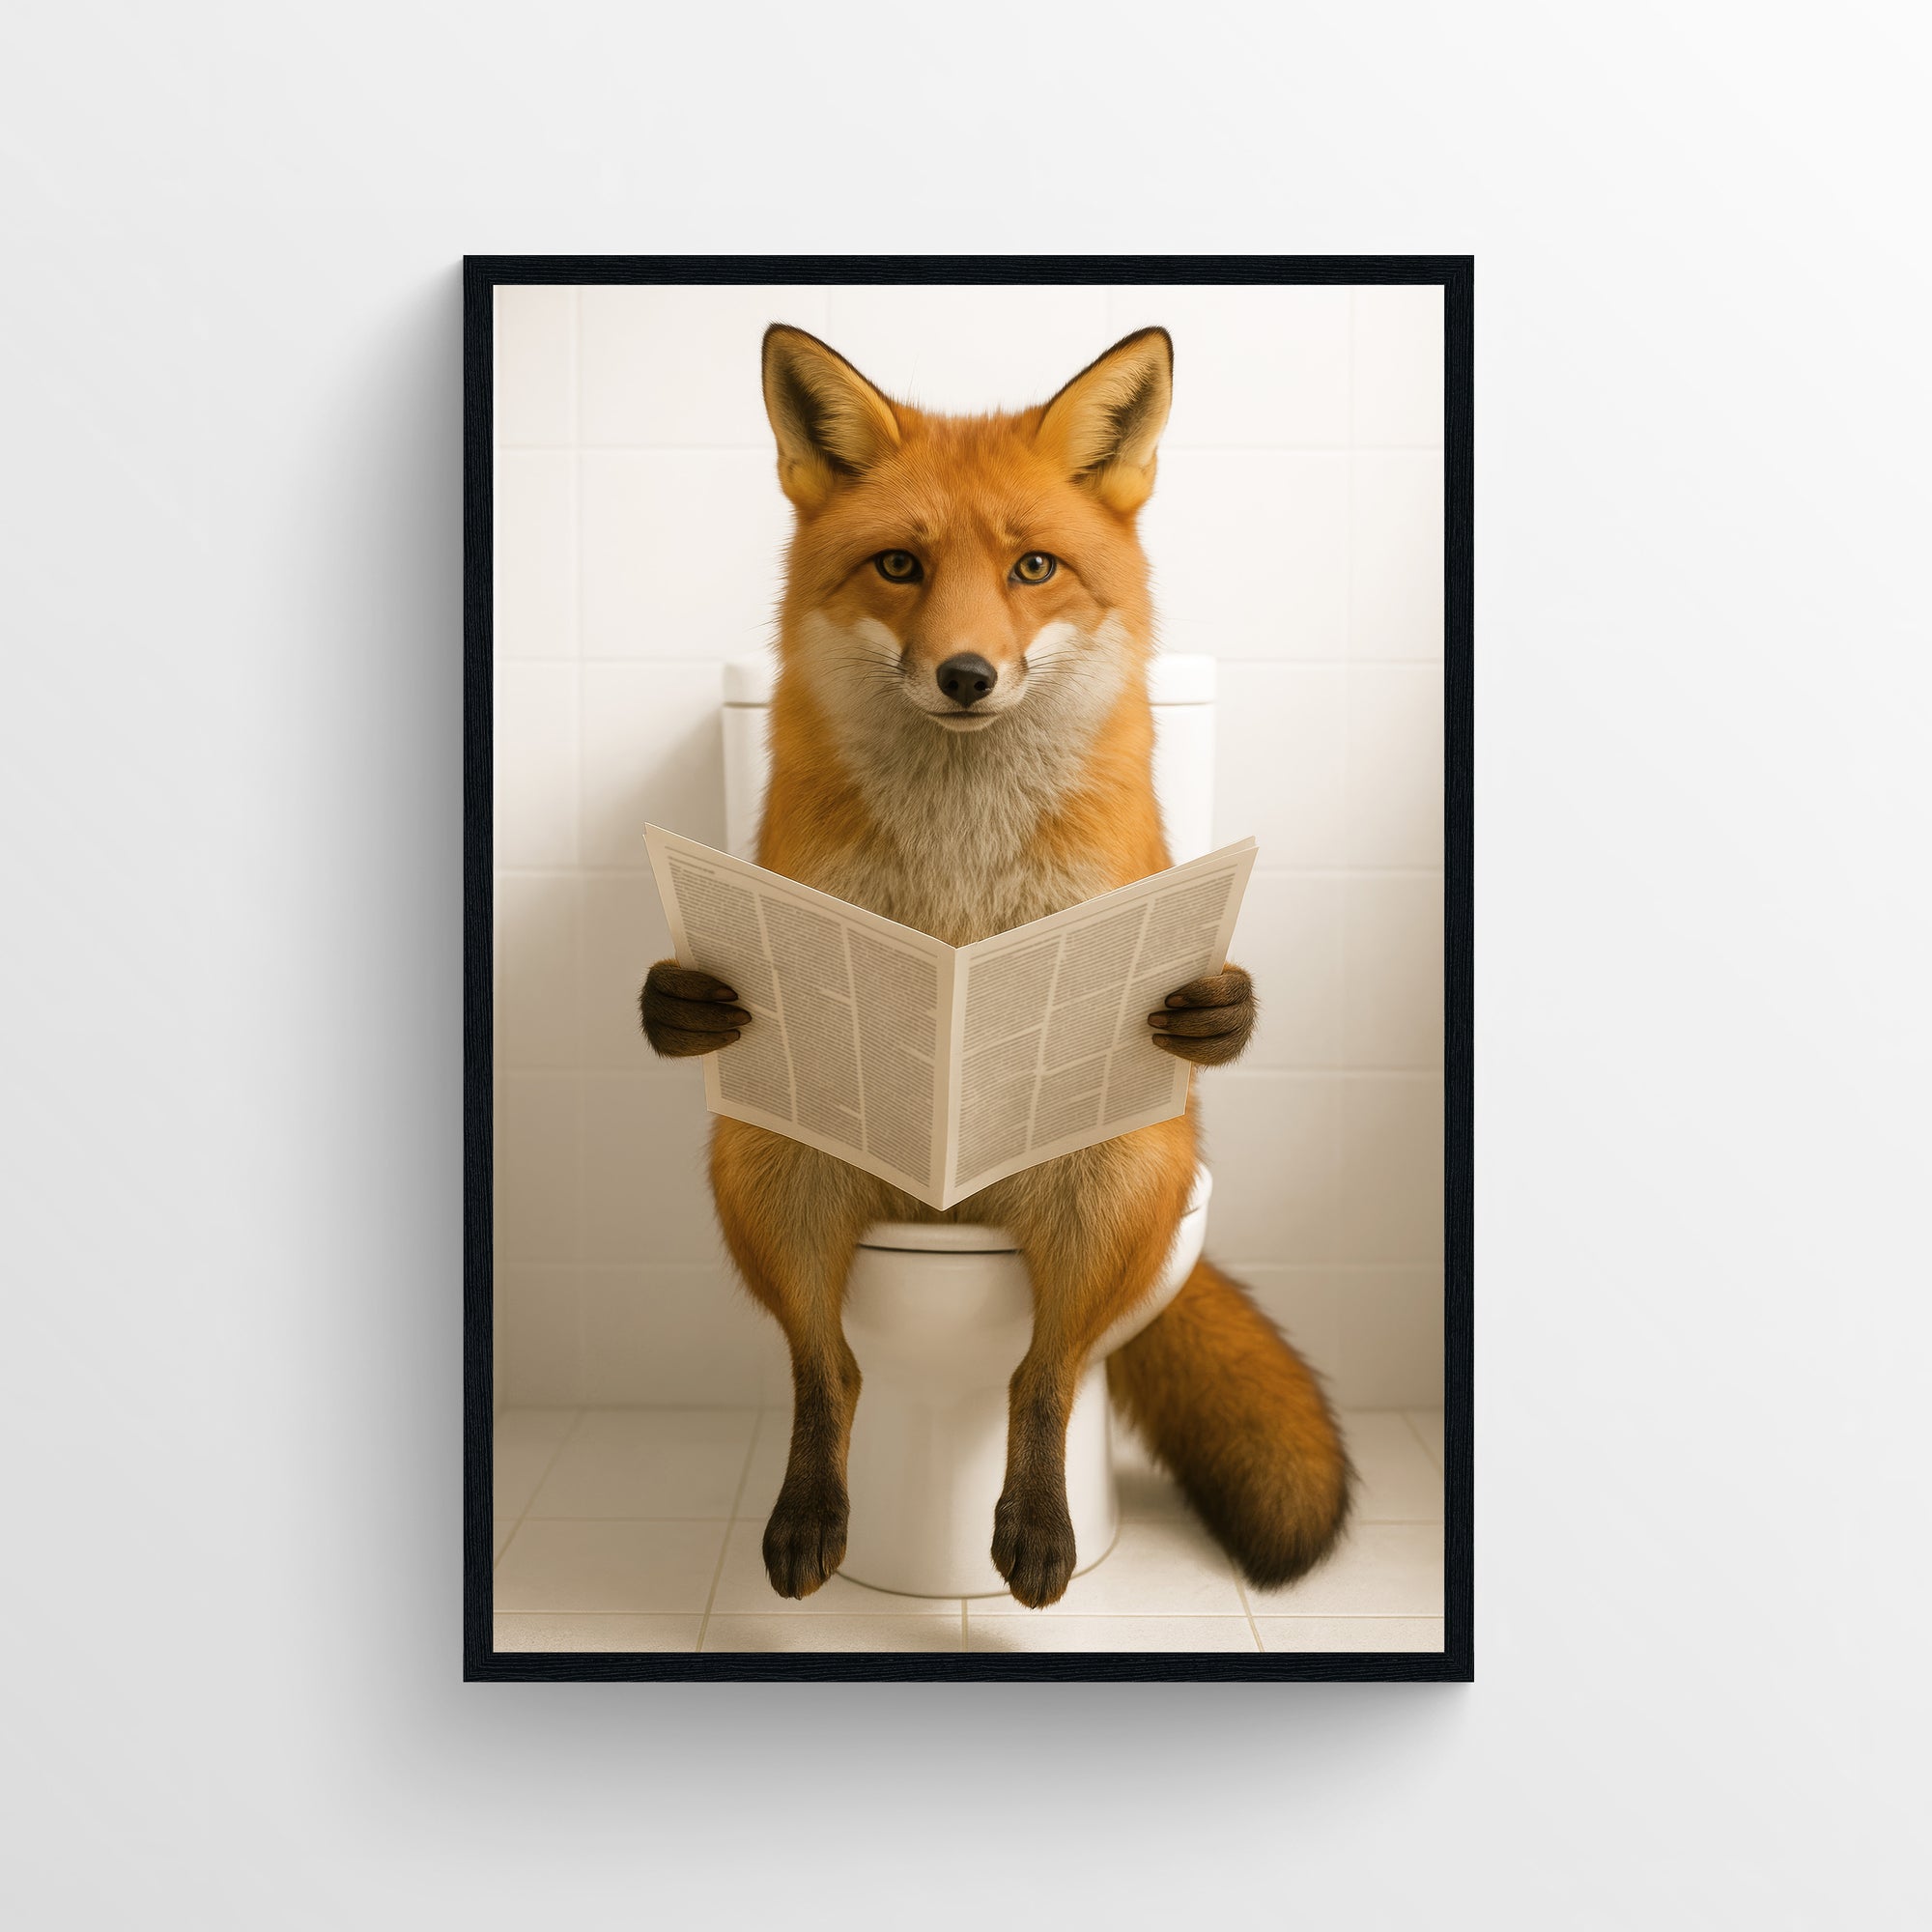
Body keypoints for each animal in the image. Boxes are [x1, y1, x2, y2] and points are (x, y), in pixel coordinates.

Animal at [639, 322, 1351, 1608]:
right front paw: (682, 1003)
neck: (959, 865)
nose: (965, 675)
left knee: (1043, 1373)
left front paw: (1214, 1011)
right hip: (776, 1154)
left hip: (1115, 1167)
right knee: (831, 1369)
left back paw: (1036, 1529)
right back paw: (809, 1515)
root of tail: (948, 1197)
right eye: (897, 566)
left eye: (1032, 567)